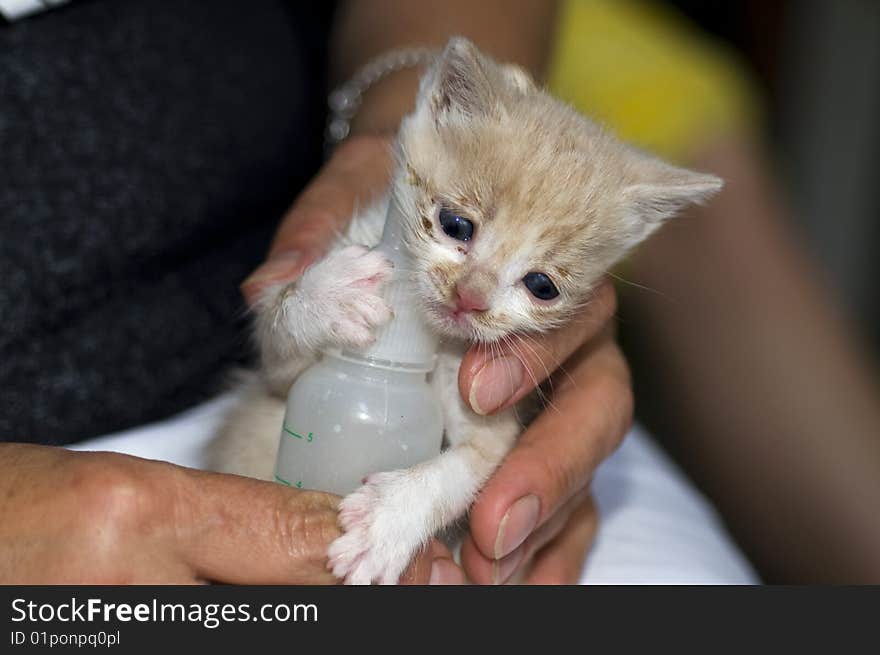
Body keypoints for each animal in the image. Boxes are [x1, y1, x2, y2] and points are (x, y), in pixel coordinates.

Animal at [206, 38, 720, 588]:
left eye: (542, 286)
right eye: (455, 225)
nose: (470, 298)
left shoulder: (489, 417)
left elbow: (468, 468)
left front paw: (387, 520)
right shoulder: (277, 373)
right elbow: (278, 324)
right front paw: (329, 293)